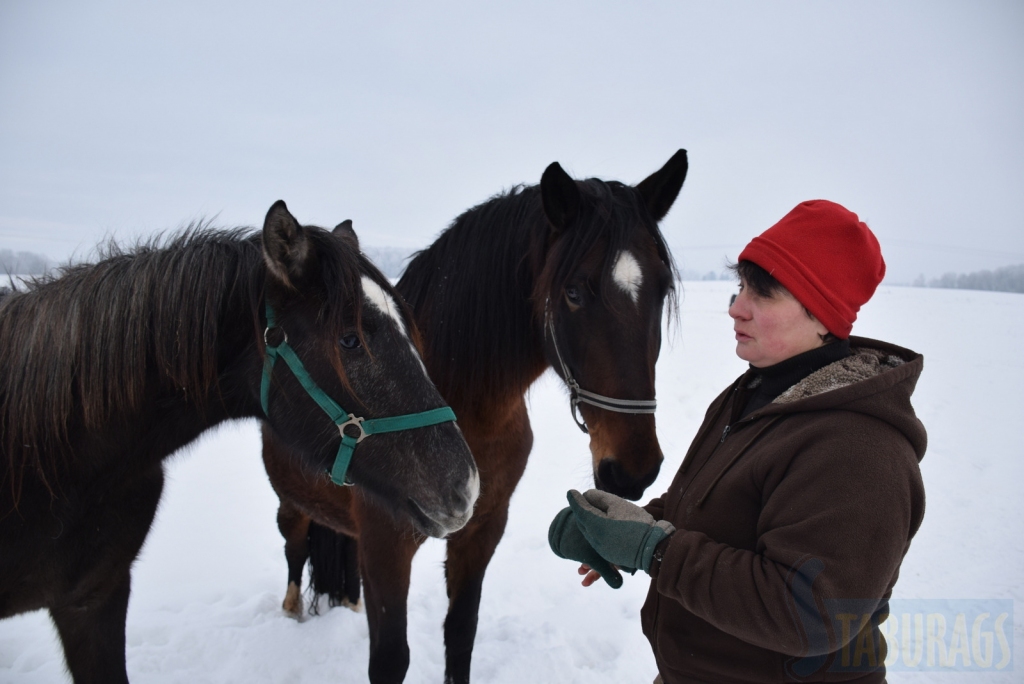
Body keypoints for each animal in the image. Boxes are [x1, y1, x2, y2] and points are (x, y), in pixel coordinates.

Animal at [262, 150, 688, 684]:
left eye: (662, 288)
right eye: (573, 292)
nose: (633, 471)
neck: (465, 407)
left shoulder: (483, 529)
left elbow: (461, 633)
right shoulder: (385, 544)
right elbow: (390, 659)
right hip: (291, 504)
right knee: (294, 548)